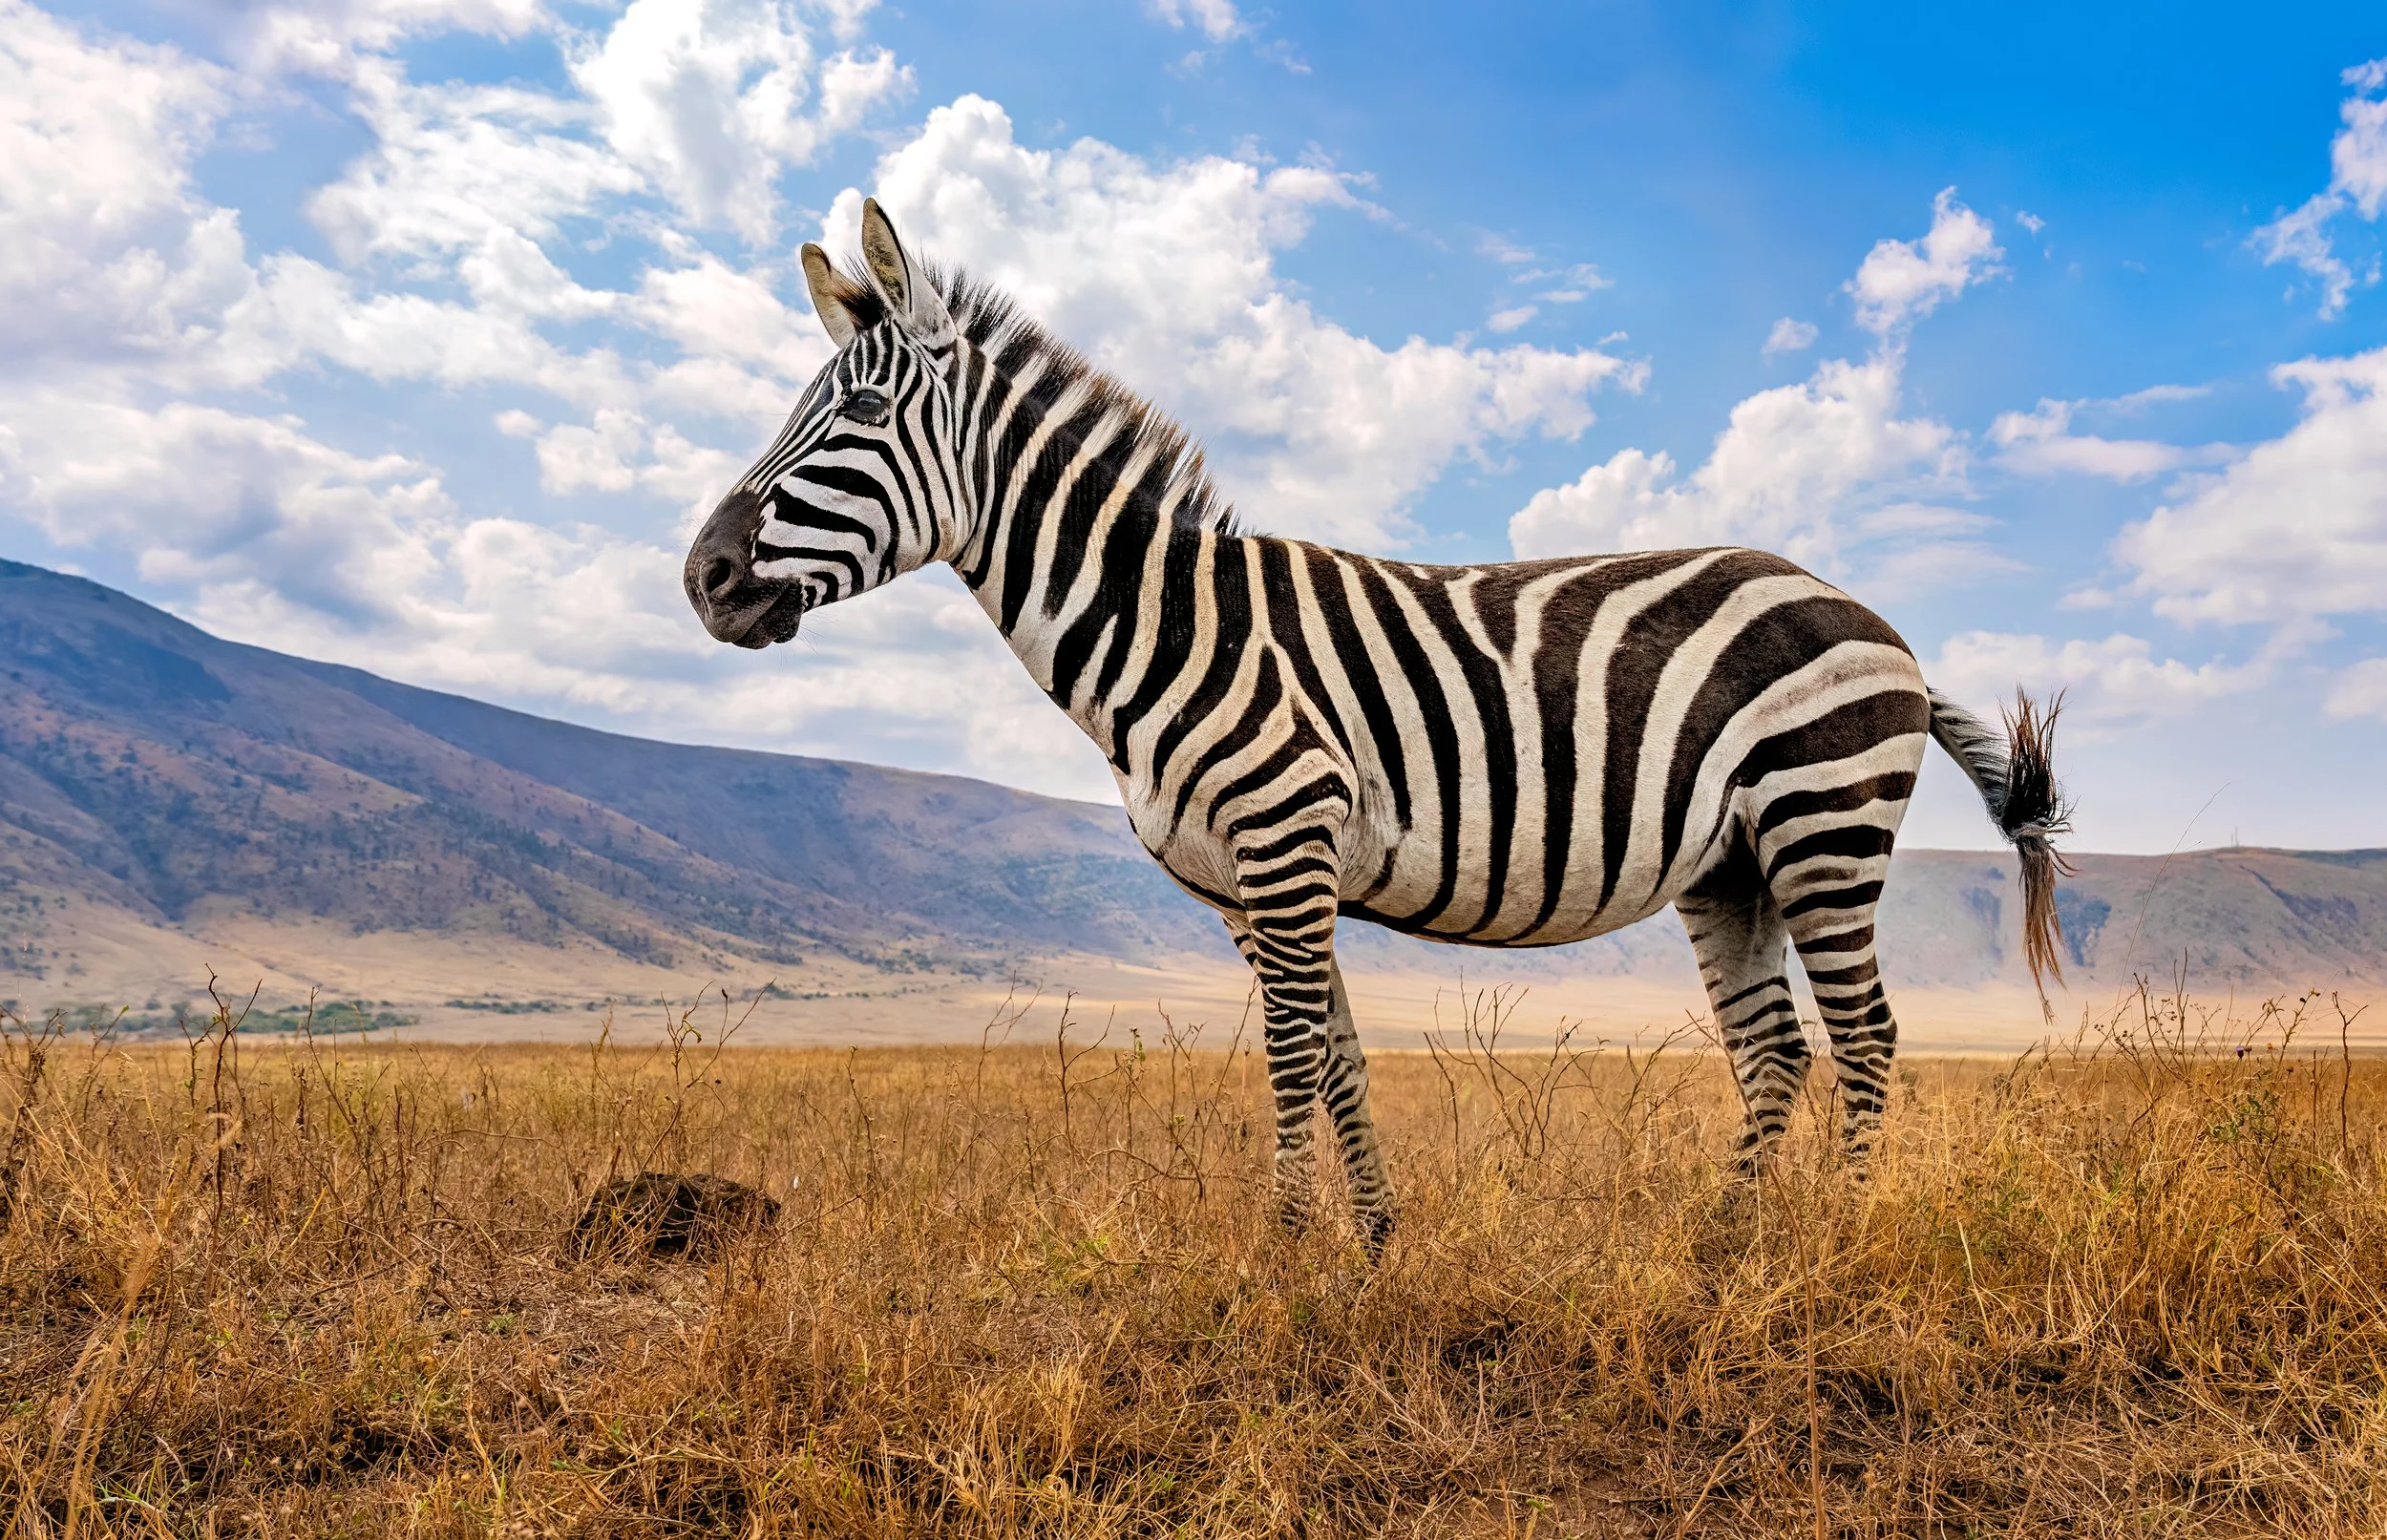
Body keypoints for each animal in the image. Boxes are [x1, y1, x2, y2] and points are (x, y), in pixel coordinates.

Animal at [684, 200, 2071, 1254]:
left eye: (859, 421)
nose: (702, 577)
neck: (1170, 624)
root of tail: (1874, 618)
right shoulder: (1253, 887)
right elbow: (1341, 1056)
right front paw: (1374, 1244)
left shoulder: (1283, 841)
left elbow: (1294, 1056)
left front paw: (1284, 1253)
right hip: (1733, 864)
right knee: (1777, 1045)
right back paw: (1724, 1245)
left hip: (1819, 818)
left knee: (1866, 1034)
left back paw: (1837, 1237)